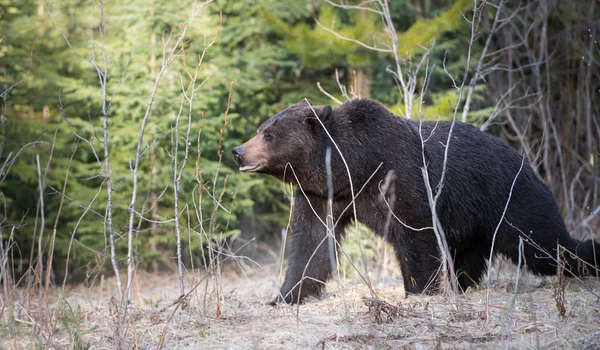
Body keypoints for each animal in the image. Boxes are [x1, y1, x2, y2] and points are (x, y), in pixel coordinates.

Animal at [232, 98, 596, 304]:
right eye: (261, 128)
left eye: (269, 135)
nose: (238, 151)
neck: (351, 166)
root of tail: (527, 162)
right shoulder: (323, 196)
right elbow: (312, 243)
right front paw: (285, 295)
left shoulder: (401, 177)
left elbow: (416, 233)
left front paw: (417, 292)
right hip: (474, 224)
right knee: (470, 258)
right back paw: (461, 287)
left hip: (511, 199)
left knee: (545, 244)